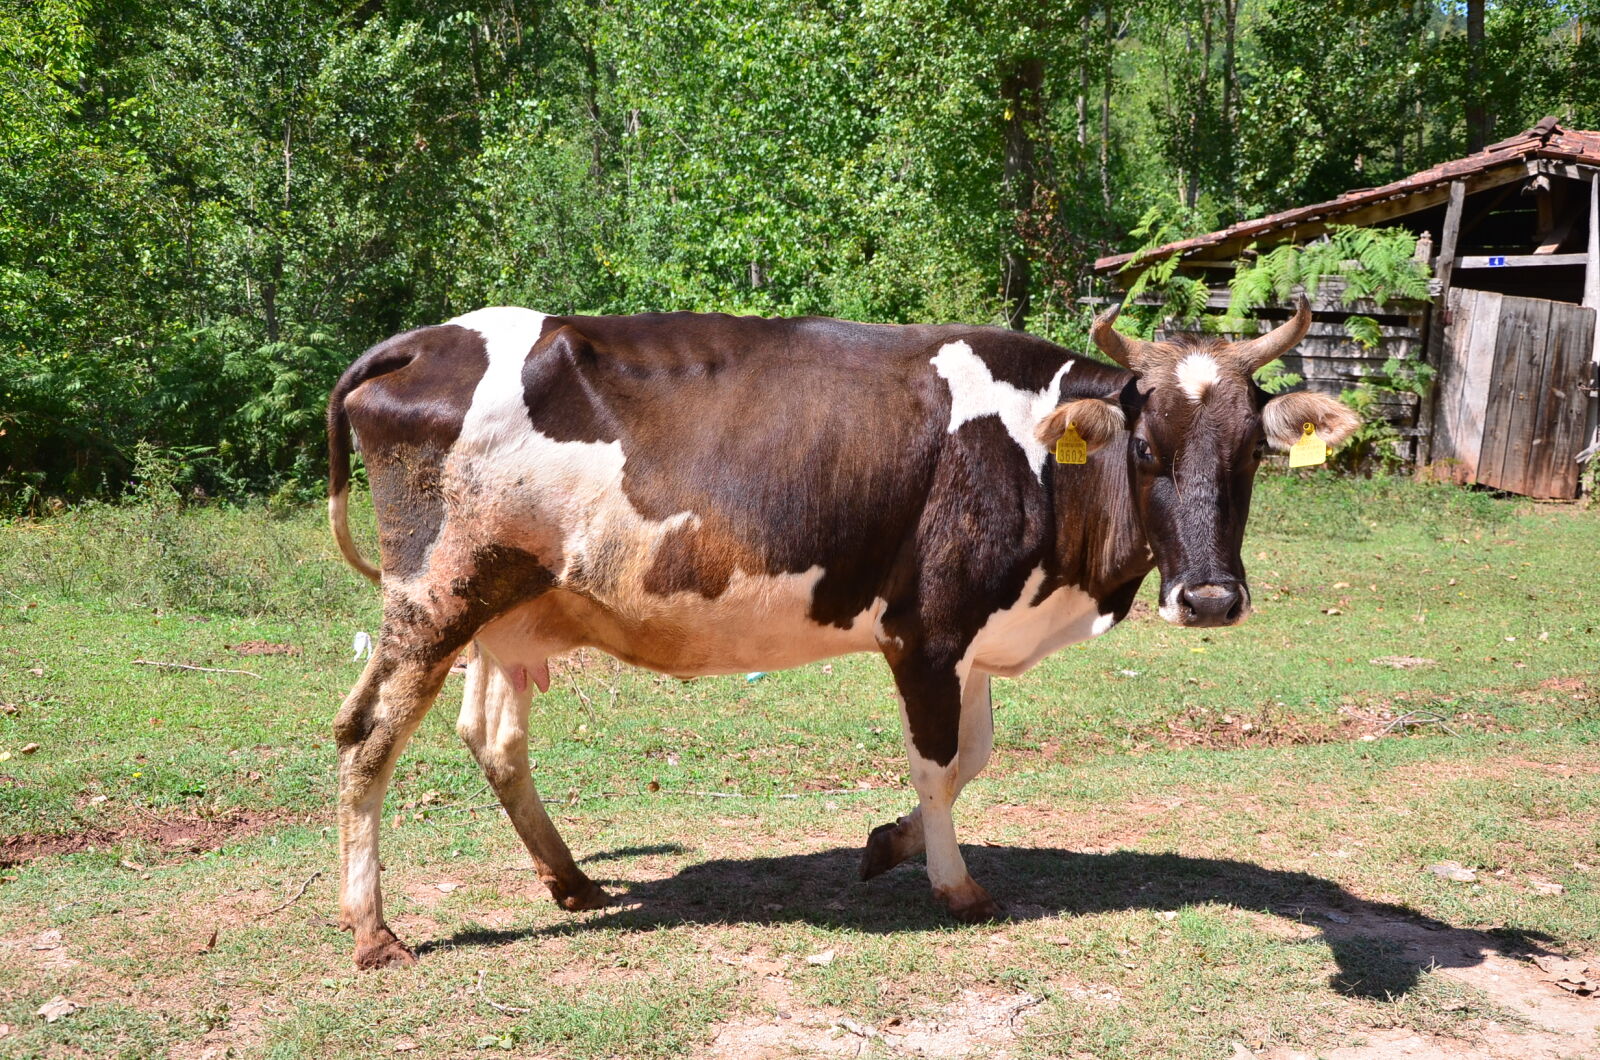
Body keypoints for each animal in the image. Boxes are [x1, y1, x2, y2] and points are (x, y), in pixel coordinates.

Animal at [325, 298, 1357, 968]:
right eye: (1146, 449)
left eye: (1251, 453)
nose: (1211, 598)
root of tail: (424, 341)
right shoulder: (928, 631)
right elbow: (939, 762)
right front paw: (954, 886)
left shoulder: (971, 631)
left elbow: (974, 754)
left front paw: (888, 844)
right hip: (435, 596)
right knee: (367, 735)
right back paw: (373, 929)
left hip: (509, 606)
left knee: (492, 736)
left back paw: (571, 880)